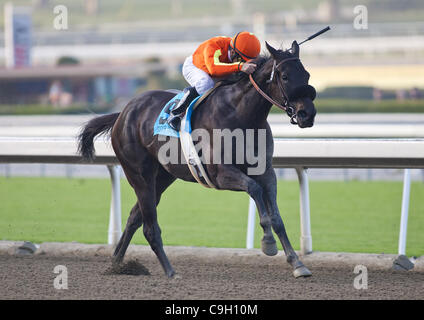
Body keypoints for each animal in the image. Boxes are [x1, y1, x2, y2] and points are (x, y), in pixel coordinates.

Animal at [78, 42, 318, 278]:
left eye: (306, 74)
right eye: (285, 76)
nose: (307, 114)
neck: (241, 114)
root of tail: (122, 112)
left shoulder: (265, 170)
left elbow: (277, 218)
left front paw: (297, 263)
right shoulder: (220, 173)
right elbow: (255, 190)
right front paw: (268, 242)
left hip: (162, 177)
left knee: (135, 217)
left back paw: (117, 264)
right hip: (139, 175)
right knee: (149, 226)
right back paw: (170, 271)